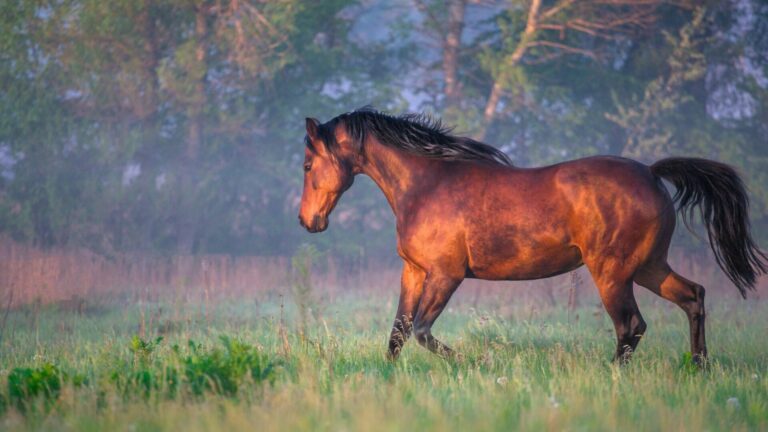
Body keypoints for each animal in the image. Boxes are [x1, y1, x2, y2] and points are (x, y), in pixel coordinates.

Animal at [298, 108, 767, 364]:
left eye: (306, 165)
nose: (307, 221)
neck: (427, 184)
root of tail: (652, 173)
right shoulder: (414, 271)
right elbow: (398, 331)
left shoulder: (447, 274)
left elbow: (423, 332)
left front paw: (476, 361)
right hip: (649, 266)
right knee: (693, 297)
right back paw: (700, 367)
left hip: (613, 272)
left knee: (631, 325)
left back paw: (611, 375)